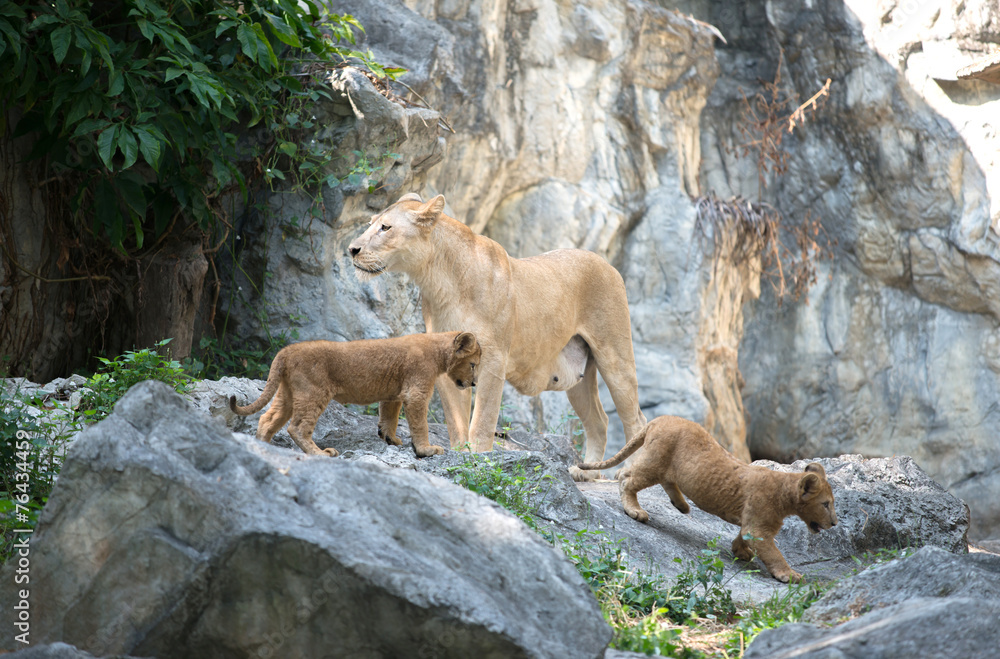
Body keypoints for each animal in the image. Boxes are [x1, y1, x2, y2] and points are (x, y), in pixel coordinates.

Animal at [350, 191, 648, 480]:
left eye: (385, 227)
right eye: (370, 223)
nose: (352, 249)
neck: (440, 279)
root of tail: (605, 262)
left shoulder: (494, 358)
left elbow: (483, 417)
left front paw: (480, 458)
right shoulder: (448, 360)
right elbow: (455, 419)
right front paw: (460, 455)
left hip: (614, 357)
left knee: (636, 419)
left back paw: (628, 472)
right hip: (578, 376)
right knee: (600, 421)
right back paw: (585, 472)